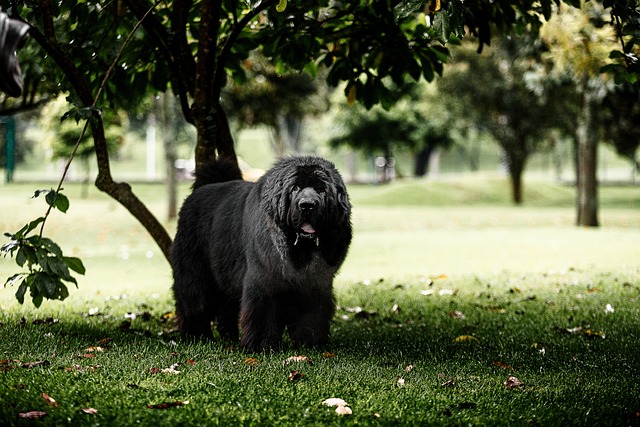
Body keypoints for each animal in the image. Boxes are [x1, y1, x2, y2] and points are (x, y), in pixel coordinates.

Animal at [171, 156, 350, 352]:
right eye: (295, 188)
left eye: (321, 189)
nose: (307, 205)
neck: (299, 251)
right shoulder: (263, 281)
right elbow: (262, 315)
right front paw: (261, 346)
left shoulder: (315, 285)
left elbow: (311, 315)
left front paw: (310, 343)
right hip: (196, 274)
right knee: (194, 302)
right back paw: (196, 336)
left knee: (227, 306)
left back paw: (228, 336)